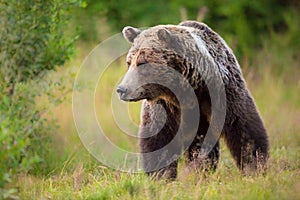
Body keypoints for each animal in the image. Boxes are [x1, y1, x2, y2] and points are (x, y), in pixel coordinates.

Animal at [116, 20, 268, 180]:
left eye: (142, 62)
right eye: (129, 62)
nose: (122, 89)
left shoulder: (221, 93)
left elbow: (243, 129)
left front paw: (254, 166)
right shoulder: (165, 105)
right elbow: (158, 140)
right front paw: (161, 175)